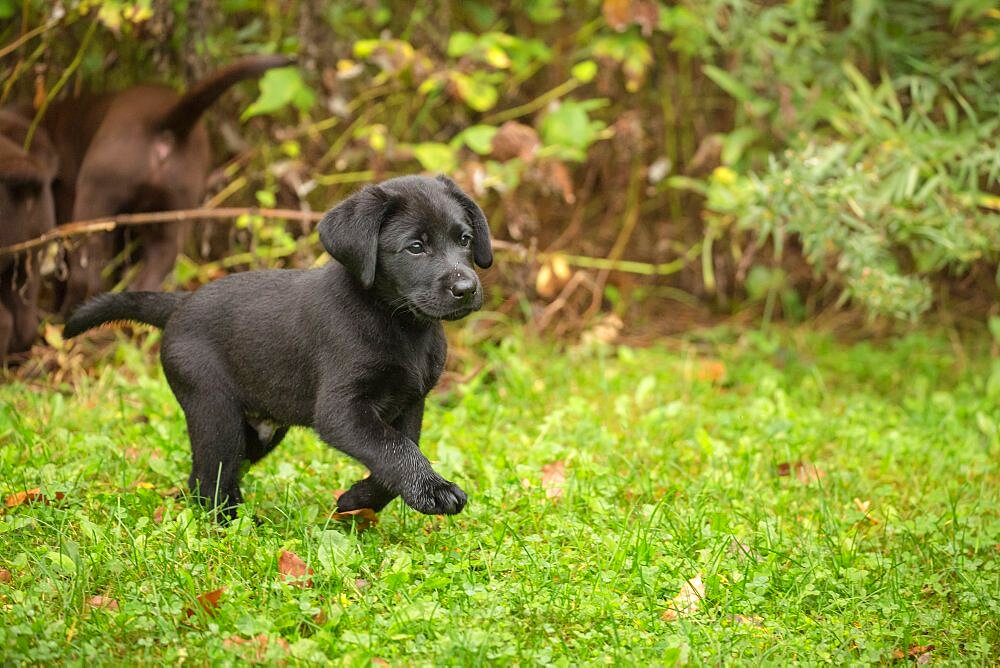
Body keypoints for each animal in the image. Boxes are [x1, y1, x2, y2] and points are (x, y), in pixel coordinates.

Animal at [64, 175, 494, 520]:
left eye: (465, 239)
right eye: (415, 247)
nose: (465, 288)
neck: (399, 322)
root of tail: (180, 304)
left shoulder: (409, 403)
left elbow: (396, 456)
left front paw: (356, 500)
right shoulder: (342, 411)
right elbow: (395, 450)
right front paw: (434, 490)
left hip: (257, 433)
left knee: (206, 477)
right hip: (214, 411)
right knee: (210, 479)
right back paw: (233, 525)